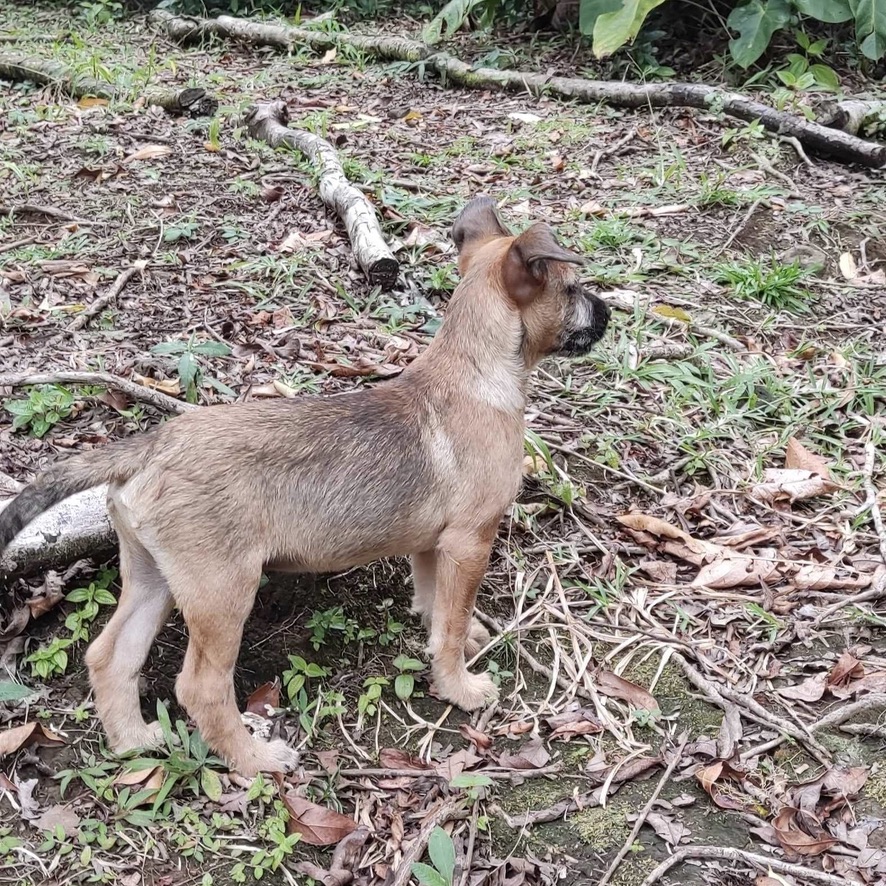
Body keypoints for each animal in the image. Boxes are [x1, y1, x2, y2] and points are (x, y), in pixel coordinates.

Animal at [0, 198, 612, 772]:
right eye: (572, 287)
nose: (608, 315)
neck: (475, 371)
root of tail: (152, 445)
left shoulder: (434, 543)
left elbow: (437, 604)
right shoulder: (470, 540)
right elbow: (452, 622)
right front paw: (460, 687)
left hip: (154, 577)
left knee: (110, 656)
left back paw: (134, 742)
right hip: (224, 590)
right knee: (200, 687)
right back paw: (255, 761)